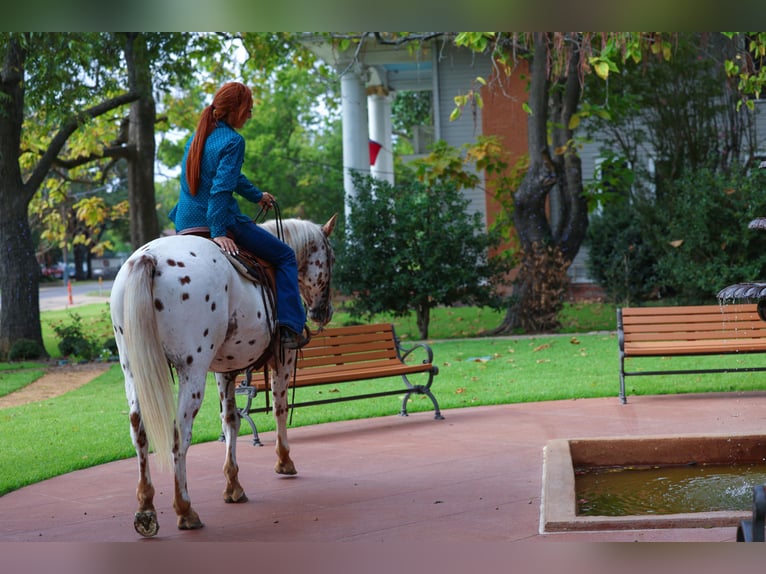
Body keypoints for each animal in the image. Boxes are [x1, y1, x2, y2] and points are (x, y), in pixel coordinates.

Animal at [109, 215, 336, 537]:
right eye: (331, 257)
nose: (323, 312)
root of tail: (149, 258)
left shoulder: (225, 370)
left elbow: (231, 421)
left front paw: (233, 485)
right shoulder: (284, 358)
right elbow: (280, 408)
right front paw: (284, 460)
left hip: (132, 370)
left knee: (139, 432)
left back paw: (146, 509)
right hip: (191, 371)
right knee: (179, 436)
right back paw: (185, 509)